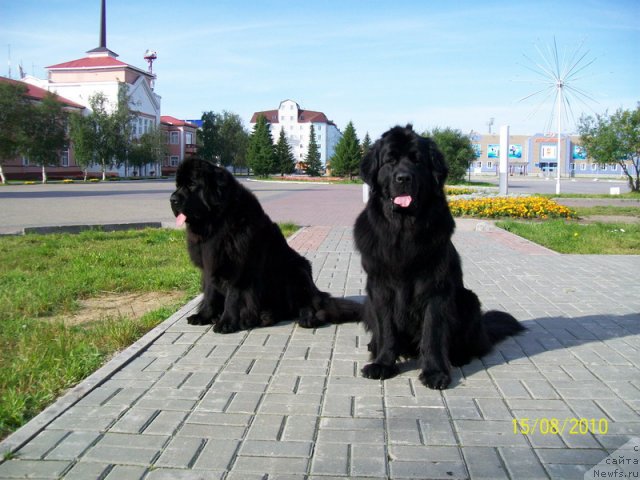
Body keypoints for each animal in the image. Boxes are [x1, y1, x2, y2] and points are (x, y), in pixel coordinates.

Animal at [170, 158, 360, 334]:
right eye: (178, 185)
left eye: (192, 184)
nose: (172, 199)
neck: (218, 222)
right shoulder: (210, 264)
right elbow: (210, 293)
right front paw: (204, 316)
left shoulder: (239, 266)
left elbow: (233, 297)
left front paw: (226, 322)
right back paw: (265, 316)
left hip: (296, 271)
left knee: (307, 305)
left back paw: (305, 318)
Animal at [356, 125, 524, 388]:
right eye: (390, 160)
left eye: (417, 161)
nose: (403, 178)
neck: (403, 231)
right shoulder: (380, 287)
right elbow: (386, 329)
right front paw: (383, 364)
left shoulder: (435, 289)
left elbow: (432, 333)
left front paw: (435, 372)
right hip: (367, 304)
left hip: (468, 300)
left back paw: (458, 357)